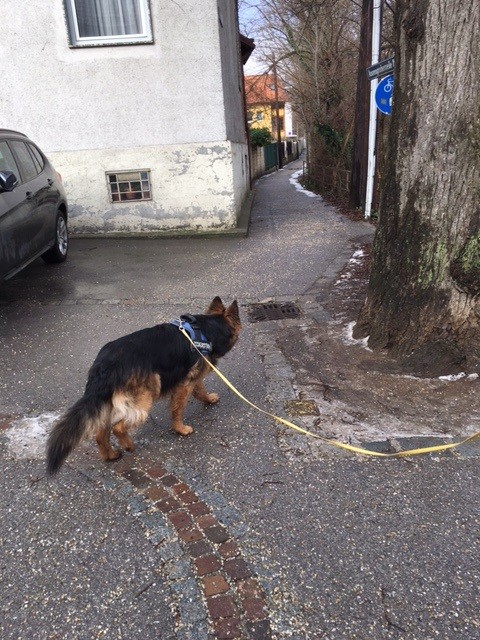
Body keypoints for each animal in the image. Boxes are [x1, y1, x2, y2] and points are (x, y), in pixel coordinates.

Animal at [46, 297, 241, 475]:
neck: (207, 330)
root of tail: (105, 366)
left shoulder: (192, 378)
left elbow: (200, 390)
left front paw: (208, 399)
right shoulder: (185, 384)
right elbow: (178, 408)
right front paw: (180, 429)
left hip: (109, 402)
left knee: (101, 433)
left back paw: (110, 455)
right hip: (145, 398)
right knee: (118, 427)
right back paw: (129, 445)